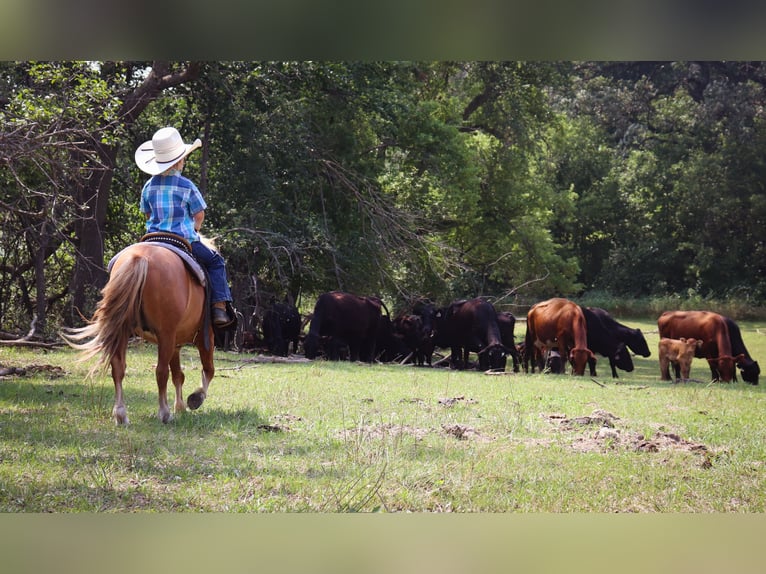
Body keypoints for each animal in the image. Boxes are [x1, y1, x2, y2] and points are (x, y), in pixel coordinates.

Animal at [60, 241, 213, 426]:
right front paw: (196, 398)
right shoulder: (204, 337)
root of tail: (140, 258)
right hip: (166, 334)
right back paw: (164, 413)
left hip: (123, 331)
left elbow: (179, 375)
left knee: (118, 369)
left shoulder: (176, 344)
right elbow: (208, 370)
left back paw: (121, 415)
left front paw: (181, 407)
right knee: (161, 372)